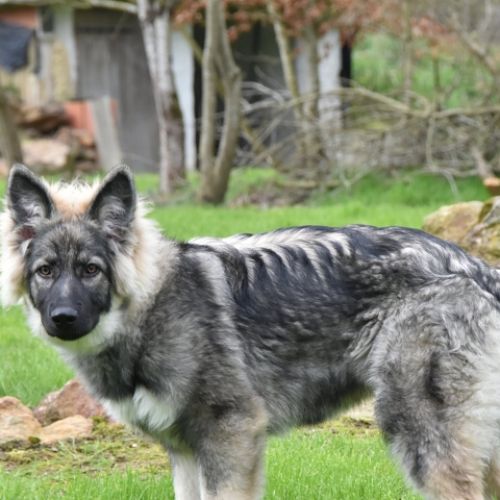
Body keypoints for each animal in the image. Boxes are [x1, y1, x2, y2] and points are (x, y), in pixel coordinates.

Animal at [3, 164, 500, 499]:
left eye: (91, 270)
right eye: (46, 271)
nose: (62, 317)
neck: (154, 304)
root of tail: (471, 266)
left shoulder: (231, 436)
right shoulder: (185, 453)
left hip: (418, 433)